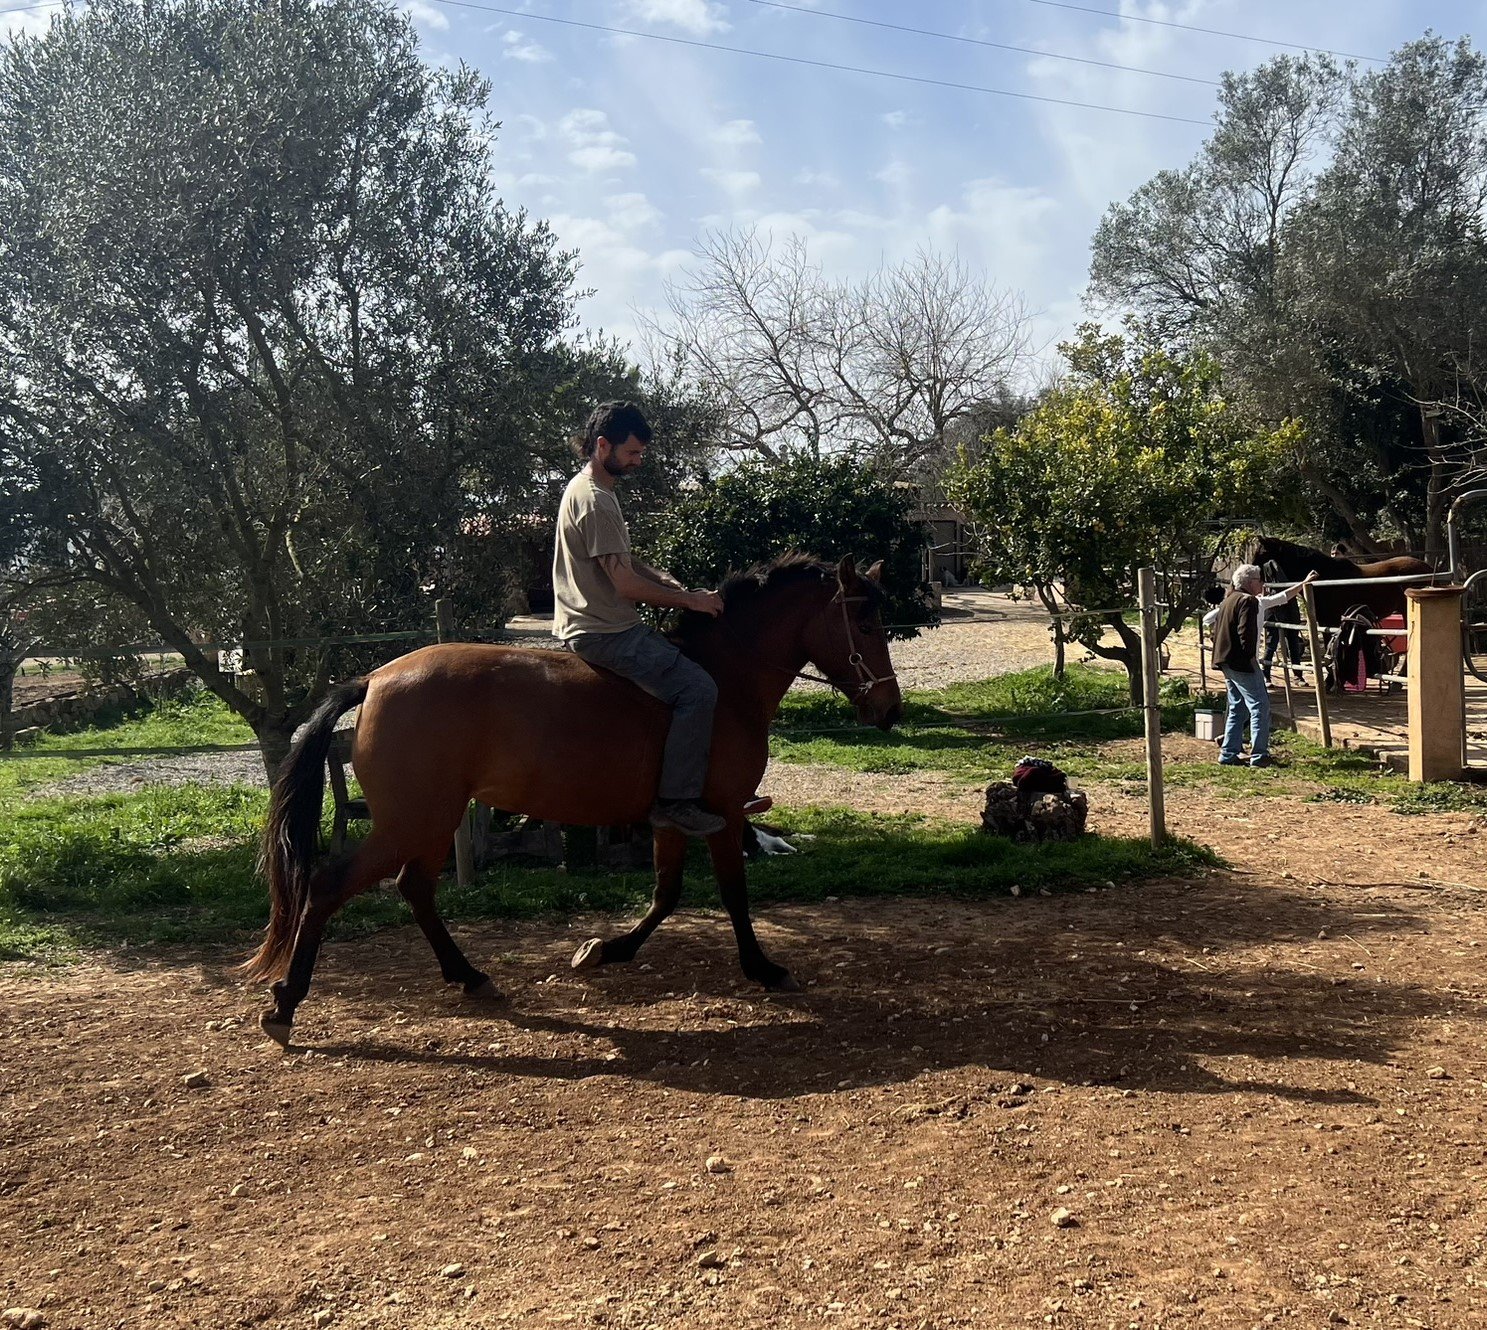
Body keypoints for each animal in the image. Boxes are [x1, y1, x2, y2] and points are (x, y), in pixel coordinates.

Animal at [245, 554, 903, 1047]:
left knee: (416, 889)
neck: (726, 679)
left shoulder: (674, 819)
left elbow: (666, 894)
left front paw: (606, 951)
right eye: (868, 625)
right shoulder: (721, 815)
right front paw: (764, 969)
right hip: (412, 820)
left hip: (432, 821)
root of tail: (375, 679)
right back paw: (285, 1004)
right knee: (328, 887)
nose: (888, 709)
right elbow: (733, 897)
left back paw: (470, 977)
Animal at [1247, 535, 1438, 627]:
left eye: (1261, 552)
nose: (1247, 568)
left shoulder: (1330, 619)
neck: (1325, 576)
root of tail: (1429, 568)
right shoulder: (1325, 620)